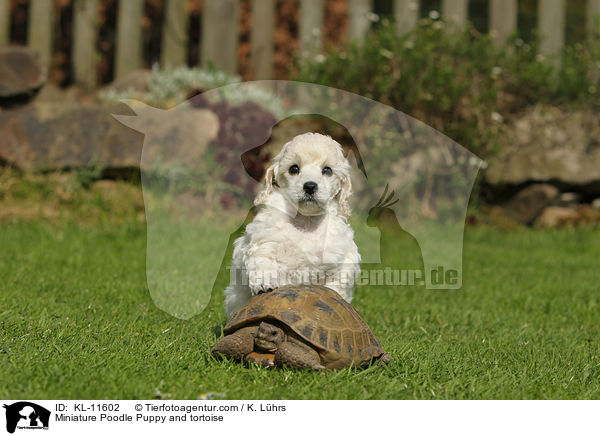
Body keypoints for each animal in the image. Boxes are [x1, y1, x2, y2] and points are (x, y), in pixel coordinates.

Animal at [225, 131, 360, 318]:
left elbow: (336, 285)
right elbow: (263, 260)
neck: (305, 221)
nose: (310, 186)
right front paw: (265, 282)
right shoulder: (264, 240)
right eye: (294, 169)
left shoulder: (342, 260)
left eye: (327, 170)